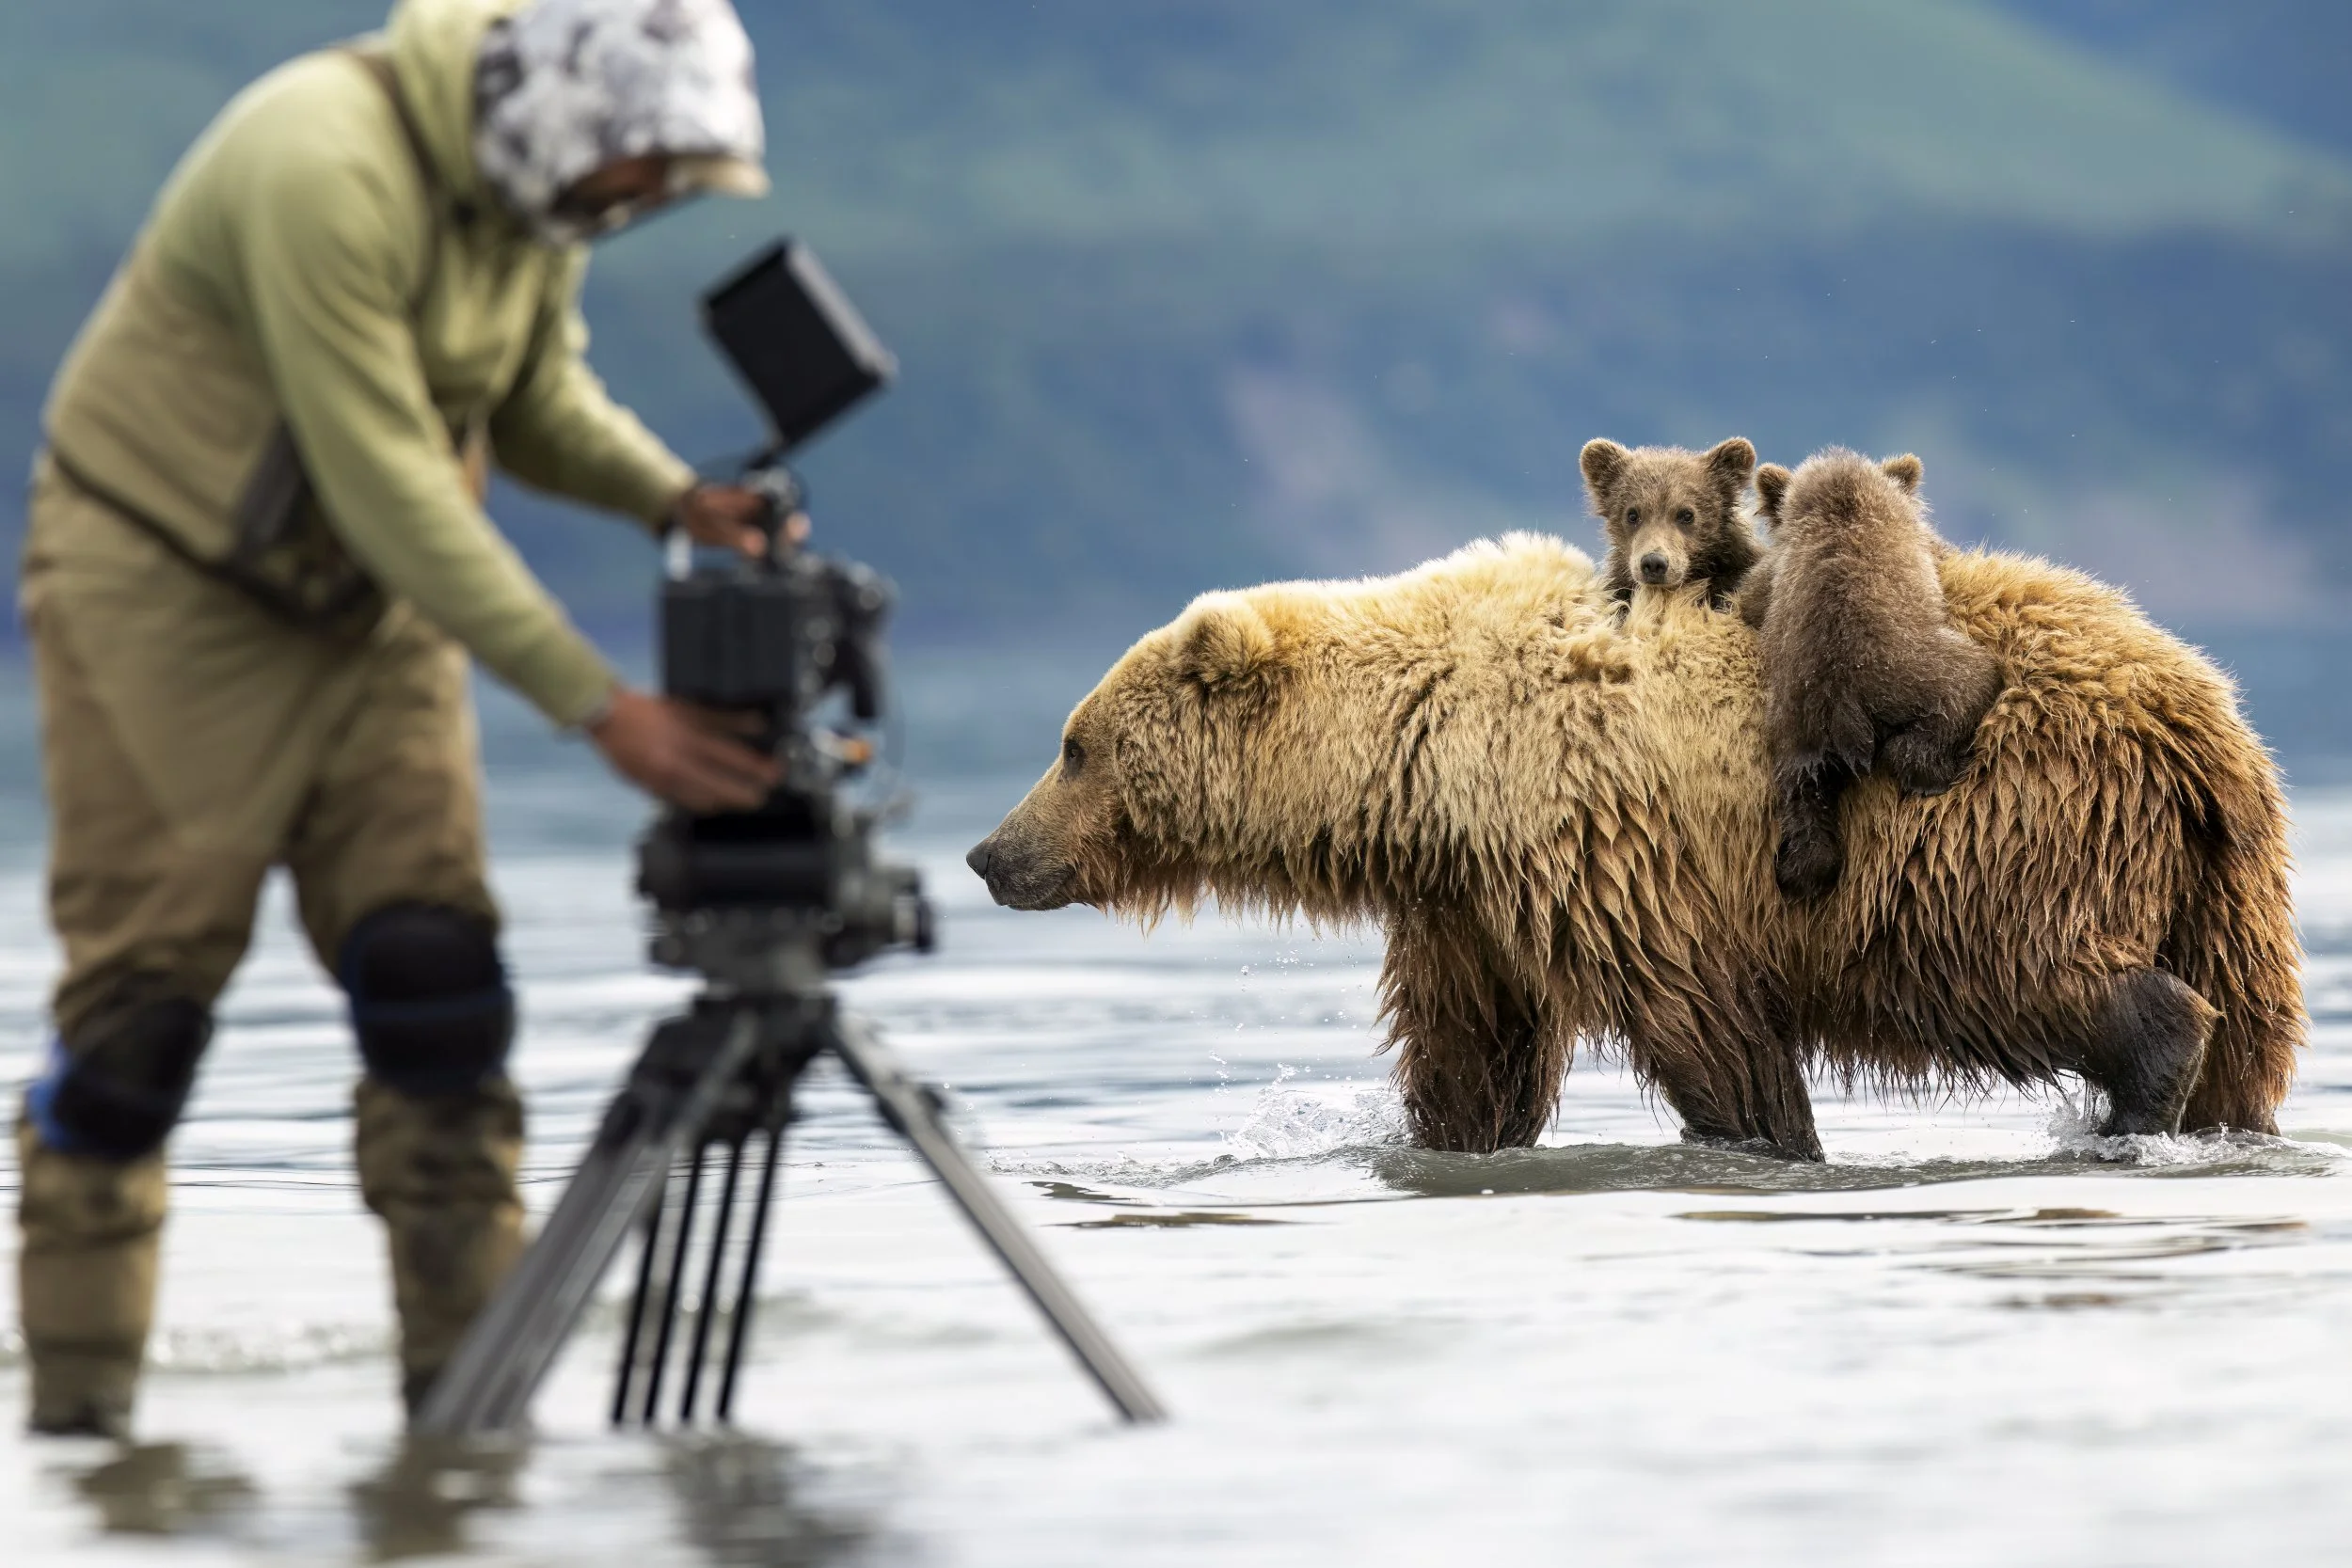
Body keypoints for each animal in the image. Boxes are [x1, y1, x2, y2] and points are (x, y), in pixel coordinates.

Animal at [966, 533, 2303, 1161]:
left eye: (1072, 744)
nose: (989, 852)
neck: (1421, 758)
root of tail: (2199, 713)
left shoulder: (1592, 837)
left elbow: (1700, 1020)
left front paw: (1765, 1134)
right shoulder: (1467, 899)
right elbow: (1473, 1054)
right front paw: (1444, 1134)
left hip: (1992, 827)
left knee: (2017, 967)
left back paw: (2139, 1085)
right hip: (2223, 874)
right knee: (2246, 1020)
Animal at [1739, 449, 2006, 902]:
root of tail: (1845, 702)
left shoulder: (1777, 573)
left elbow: (1749, 597)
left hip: (1794, 727)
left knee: (1804, 804)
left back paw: (1798, 871)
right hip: (1915, 669)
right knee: (1968, 684)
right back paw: (1934, 770)